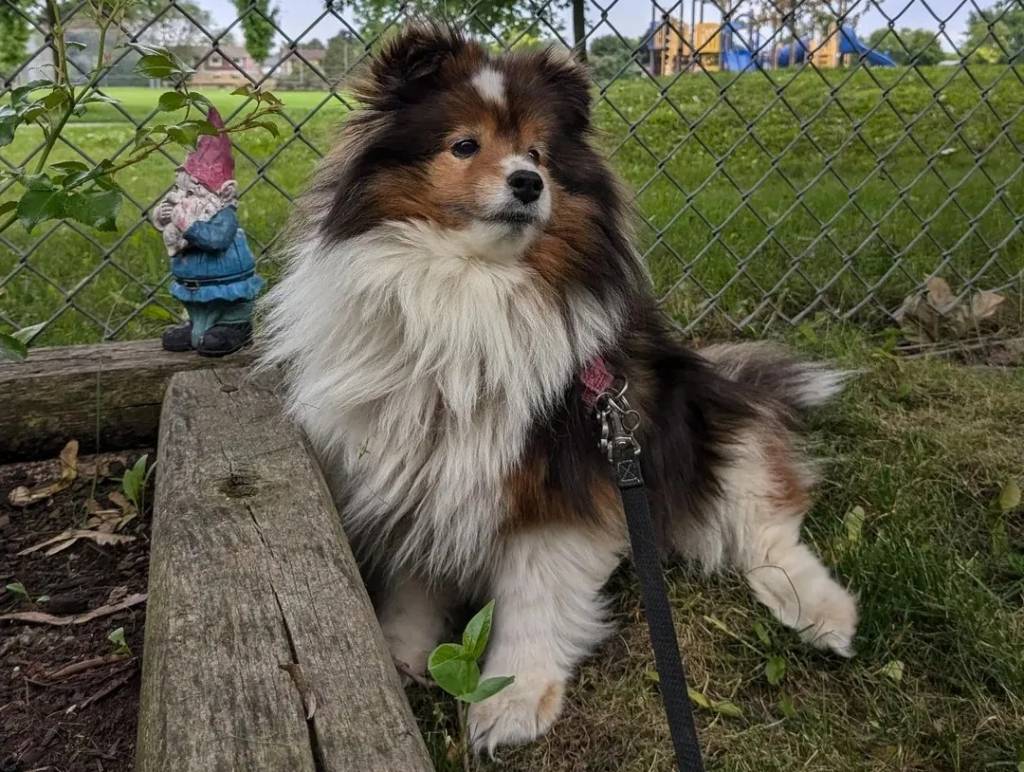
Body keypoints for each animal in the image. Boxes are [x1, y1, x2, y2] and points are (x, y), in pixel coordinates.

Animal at [259, 23, 858, 753]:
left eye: (538, 153)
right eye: (465, 145)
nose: (528, 182)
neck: (468, 287)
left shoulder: (562, 477)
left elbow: (533, 596)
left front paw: (511, 702)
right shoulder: (414, 465)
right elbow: (413, 577)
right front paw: (402, 655)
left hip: (710, 431)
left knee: (769, 532)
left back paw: (824, 615)